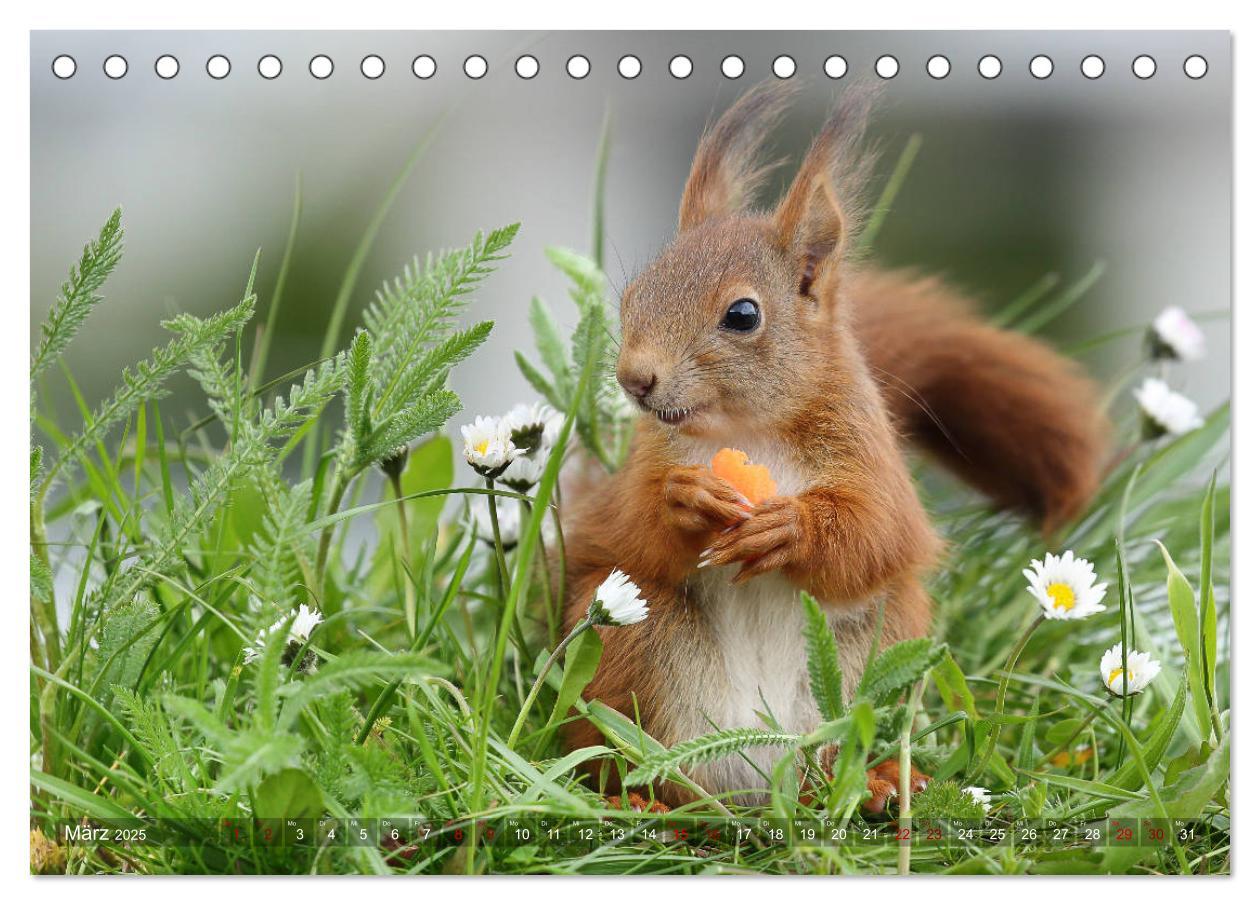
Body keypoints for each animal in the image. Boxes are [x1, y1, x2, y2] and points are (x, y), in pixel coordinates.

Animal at [559, 85, 1103, 806]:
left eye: (742, 315)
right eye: (634, 294)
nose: (634, 378)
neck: (747, 432)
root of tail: (758, 778)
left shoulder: (870, 456)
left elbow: (878, 532)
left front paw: (793, 527)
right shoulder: (638, 473)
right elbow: (630, 527)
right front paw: (686, 499)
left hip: (874, 649)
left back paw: (877, 782)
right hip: (631, 642)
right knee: (628, 753)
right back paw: (639, 795)